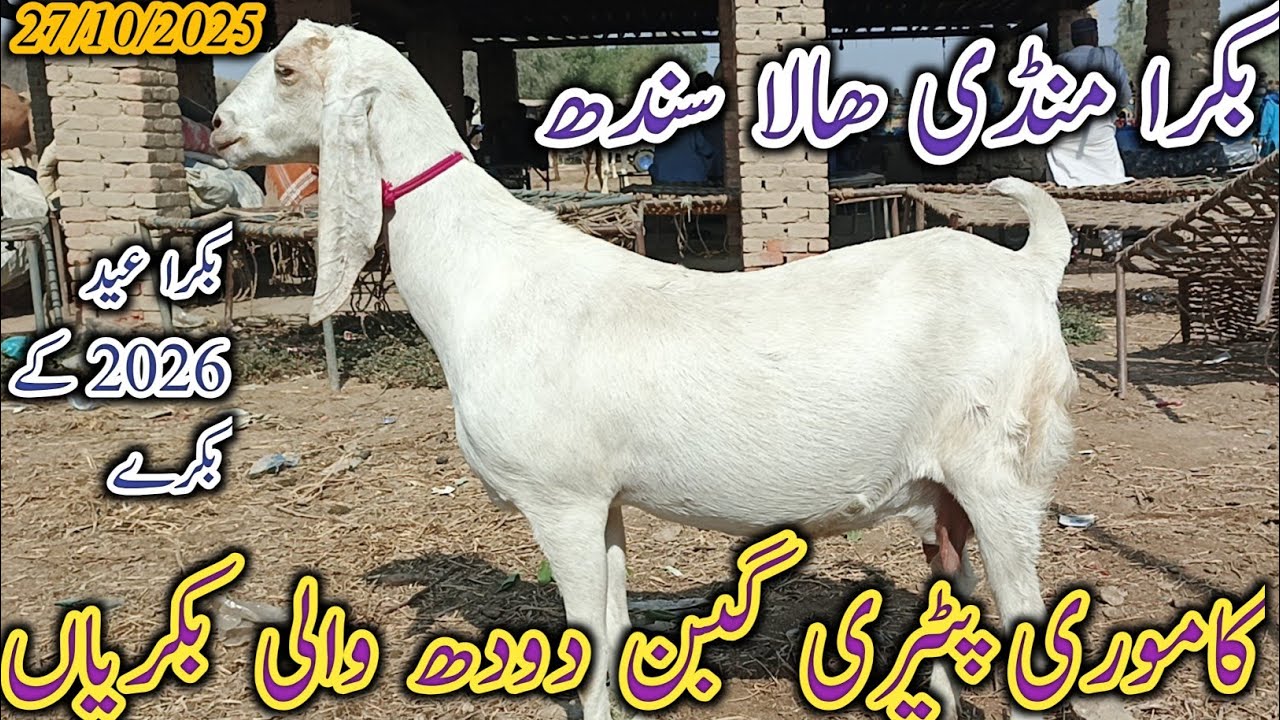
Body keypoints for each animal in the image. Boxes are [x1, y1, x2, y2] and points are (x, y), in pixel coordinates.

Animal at [213, 22, 1083, 720]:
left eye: (285, 70)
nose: (218, 125)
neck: (485, 276)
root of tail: (1031, 266)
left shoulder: (558, 497)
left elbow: (587, 636)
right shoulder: (603, 500)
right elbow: (617, 618)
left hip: (1001, 474)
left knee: (1025, 613)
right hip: (944, 495)